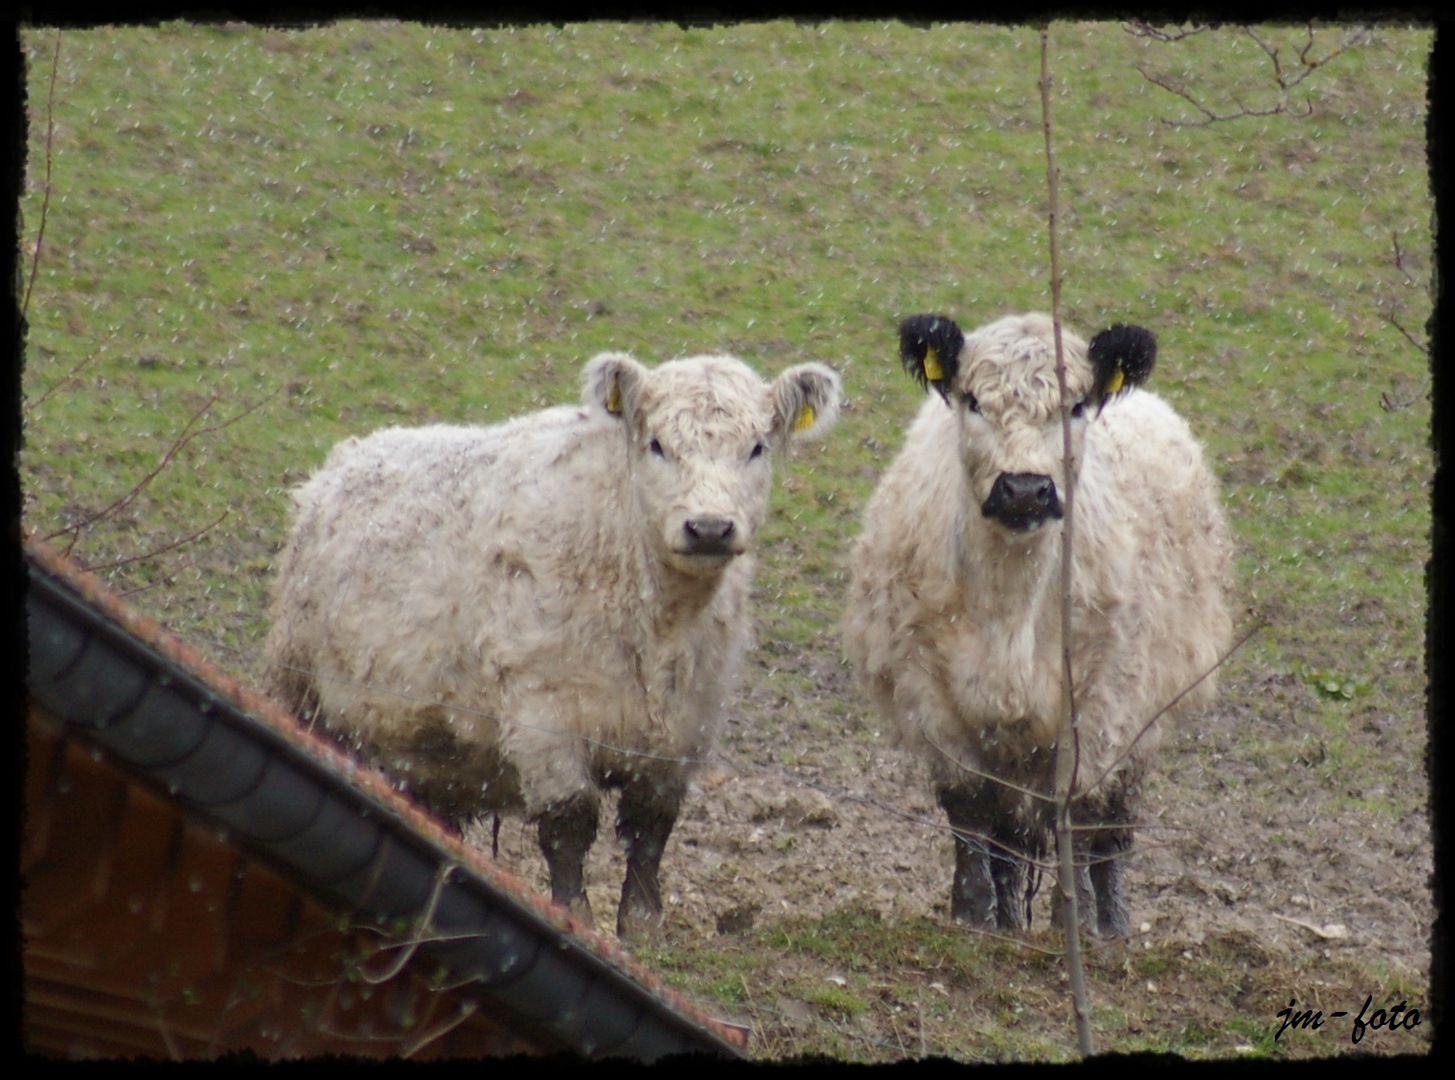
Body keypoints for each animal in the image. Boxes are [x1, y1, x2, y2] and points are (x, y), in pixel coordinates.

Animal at [267, 353, 849, 937]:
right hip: (303, 693)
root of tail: (349, 457)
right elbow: (569, 821)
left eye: (756, 448)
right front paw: (575, 917)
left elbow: (652, 826)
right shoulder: (543, 714)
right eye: (657, 444)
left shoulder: (687, 726)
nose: (708, 528)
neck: (660, 624)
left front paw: (644, 926)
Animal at [843, 312, 1228, 937]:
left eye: (1075, 406)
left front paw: (1078, 926)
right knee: (1009, 832)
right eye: (974, 401)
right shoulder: (930, 694)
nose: (1024, 488)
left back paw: (1113, 924)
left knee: (1112, 827)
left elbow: (1083, 813)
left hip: (1147, 716)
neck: (1011, 608)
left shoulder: (1105, 703)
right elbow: (972, 812)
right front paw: (974, 919)